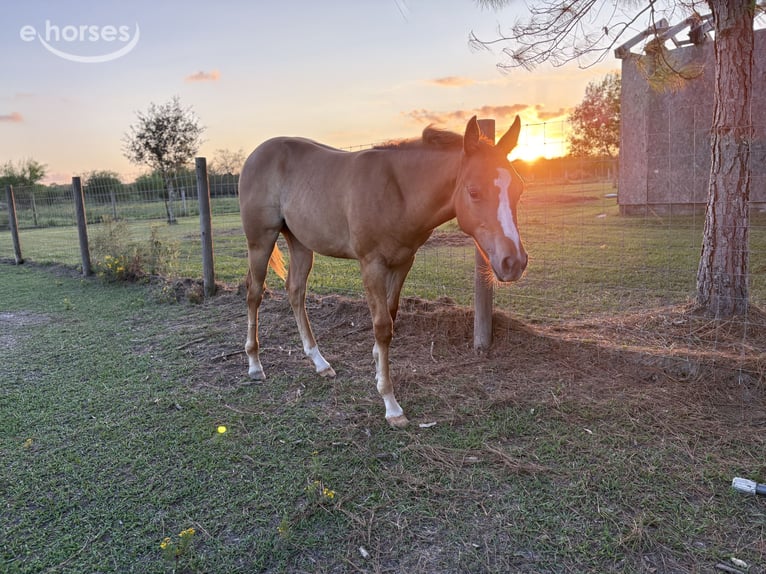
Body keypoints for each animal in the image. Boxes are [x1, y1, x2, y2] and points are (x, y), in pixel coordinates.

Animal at [239, 115, 527, 427]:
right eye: (474, 191)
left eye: (519, 188)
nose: (514, 262)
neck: (398, 191)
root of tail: (255, 155)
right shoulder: (371, 264)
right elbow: (382, 326)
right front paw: (391, 404)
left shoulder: (403, 262)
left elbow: (391, 314)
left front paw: (378, 365)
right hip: (260, 241)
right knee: (254, 293)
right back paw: (254, 365)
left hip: (301, 244)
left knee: (295, 292)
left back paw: (320, 363)